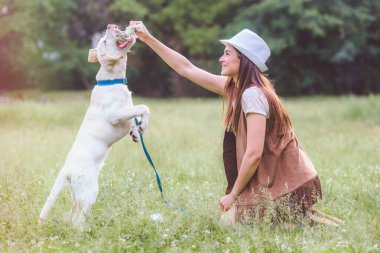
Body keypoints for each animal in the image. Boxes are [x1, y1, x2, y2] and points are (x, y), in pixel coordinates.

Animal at [39, 24, 150, 229]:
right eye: (105, 41)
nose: (110, 25)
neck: (111, 80)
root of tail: (66, 170)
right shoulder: (117, 114)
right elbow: (144, 108)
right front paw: (143, 126)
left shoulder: (127, 109)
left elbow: (136, 114)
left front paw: (136, 133)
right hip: (89, 192)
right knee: (77, 222)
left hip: (77, 195)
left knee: (72, 216)